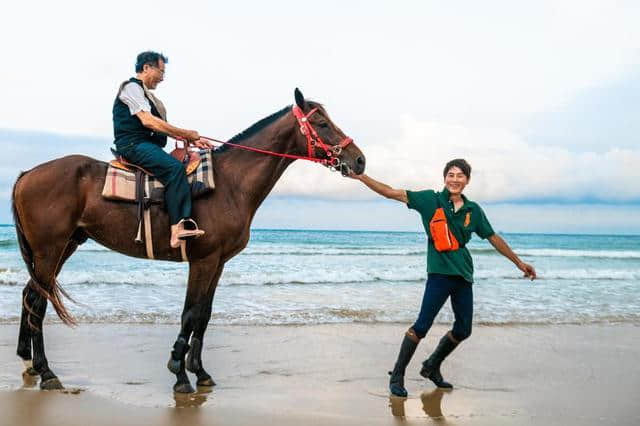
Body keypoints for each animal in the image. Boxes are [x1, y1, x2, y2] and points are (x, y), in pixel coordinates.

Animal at [10, 89, 364, 392]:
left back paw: (28, 362)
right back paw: (47, 372)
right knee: (38, 302)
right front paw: (179, 373)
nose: (359, 160)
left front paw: (200, 371)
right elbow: (190, 313)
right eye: (322, 123)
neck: (230, 183)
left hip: (63, 247)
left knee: (30, 295)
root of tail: (27, 174)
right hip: (49, 250)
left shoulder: (218, 262)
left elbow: (204, 314)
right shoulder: (203, 260)